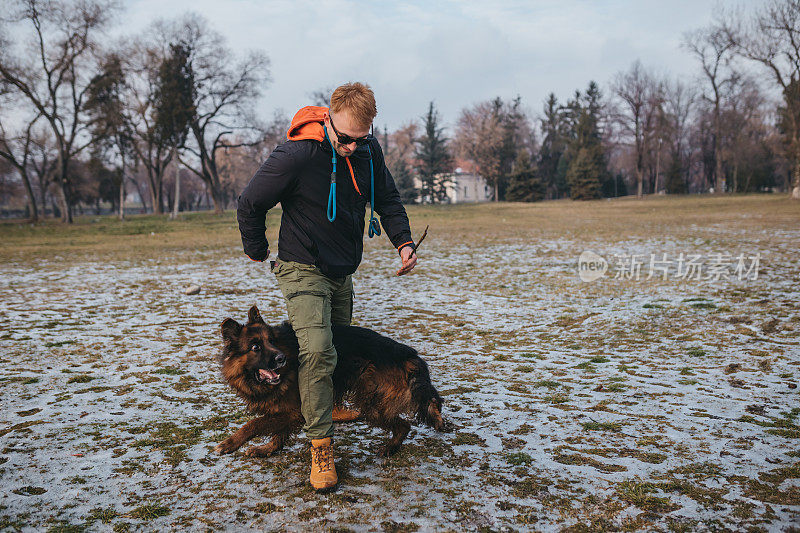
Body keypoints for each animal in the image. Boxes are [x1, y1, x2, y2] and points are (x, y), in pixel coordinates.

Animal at [212, 306, 446, 456]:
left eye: (272, 341)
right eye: (255, 347)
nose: (281, 358)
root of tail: (407, 354)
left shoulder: (293, 411)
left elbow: (254, 424)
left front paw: (230, 443)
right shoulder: (287, 411)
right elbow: (278, 433)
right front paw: (269, 449)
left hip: (372, 404)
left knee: (406, 423)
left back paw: (391, 447)